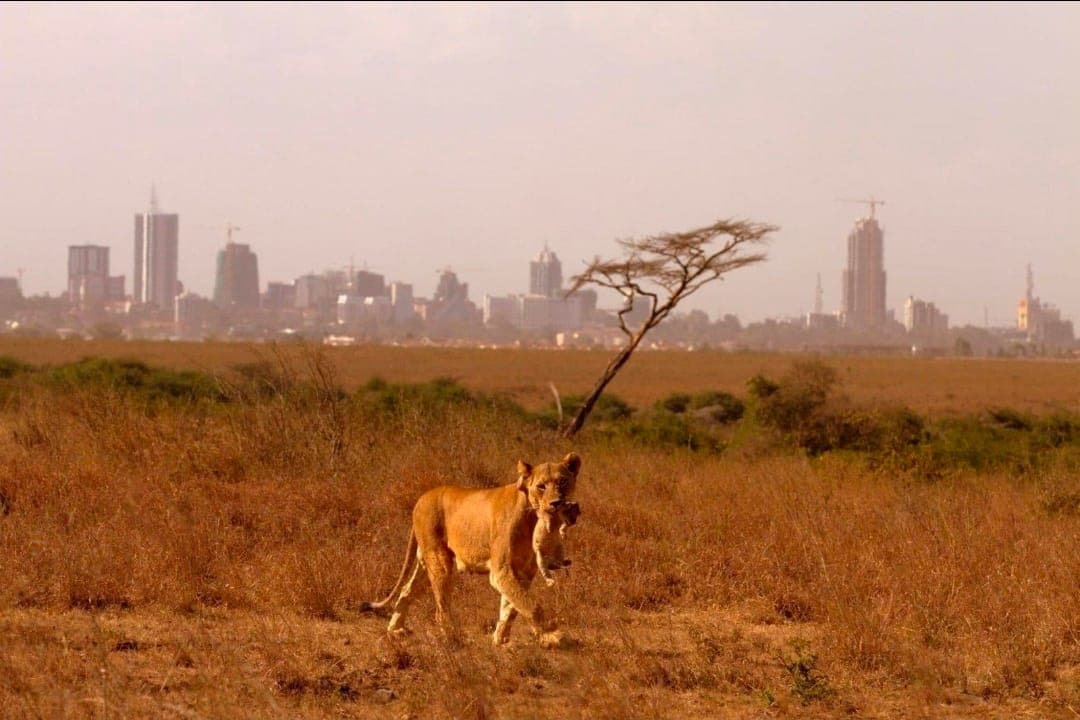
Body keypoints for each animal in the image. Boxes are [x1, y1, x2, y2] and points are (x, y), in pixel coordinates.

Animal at [361, 452, 582, 646]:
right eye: (541, 486)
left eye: (563, 482)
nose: (557, 503)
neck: (532, 518)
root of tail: (421, 498)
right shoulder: (501, 570)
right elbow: (529, 604)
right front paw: (553, 635)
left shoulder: (524, 572)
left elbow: (512, 606)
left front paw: (501, 640)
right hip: (440, 561)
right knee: (441, 607)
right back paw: (453, 638)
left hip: (426, 561)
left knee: (407, 589)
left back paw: (395, 630)